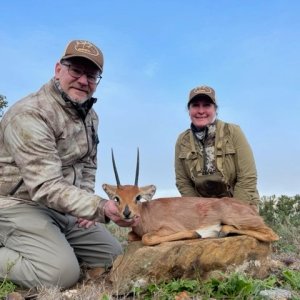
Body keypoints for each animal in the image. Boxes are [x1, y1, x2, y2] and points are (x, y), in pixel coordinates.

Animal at [103, 150, 278, 246]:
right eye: (117, 198)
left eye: (138, 197)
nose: (127, 213)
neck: (146, 214)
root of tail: (249, 208)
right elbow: (130, 236)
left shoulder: (169, 228)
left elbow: (146, 238)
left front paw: (195, 234)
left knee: (272, 234)